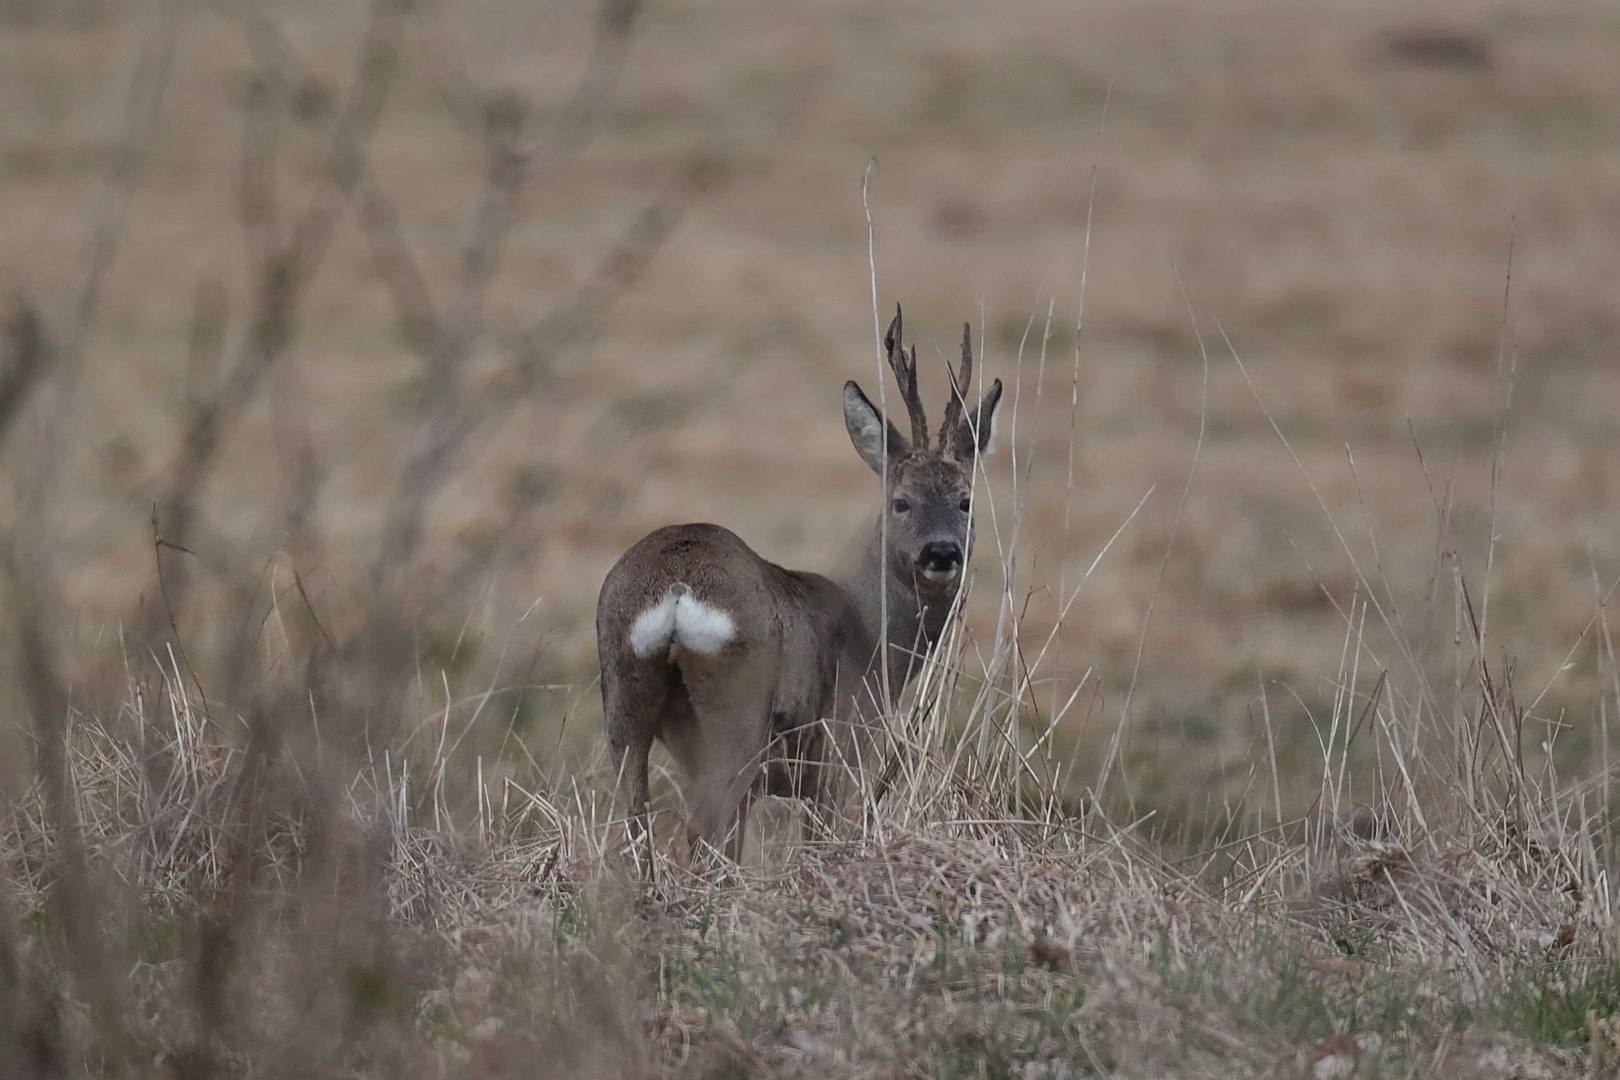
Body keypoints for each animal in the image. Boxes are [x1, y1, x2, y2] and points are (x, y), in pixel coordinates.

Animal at [596, 307, 997, 867]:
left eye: (965, 501)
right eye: (901, 501)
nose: (940, 553)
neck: (874, 638)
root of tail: (678, 589)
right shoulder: (841, 748)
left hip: (623, 691)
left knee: (634, 827)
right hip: (738, 706)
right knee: (703, 826)